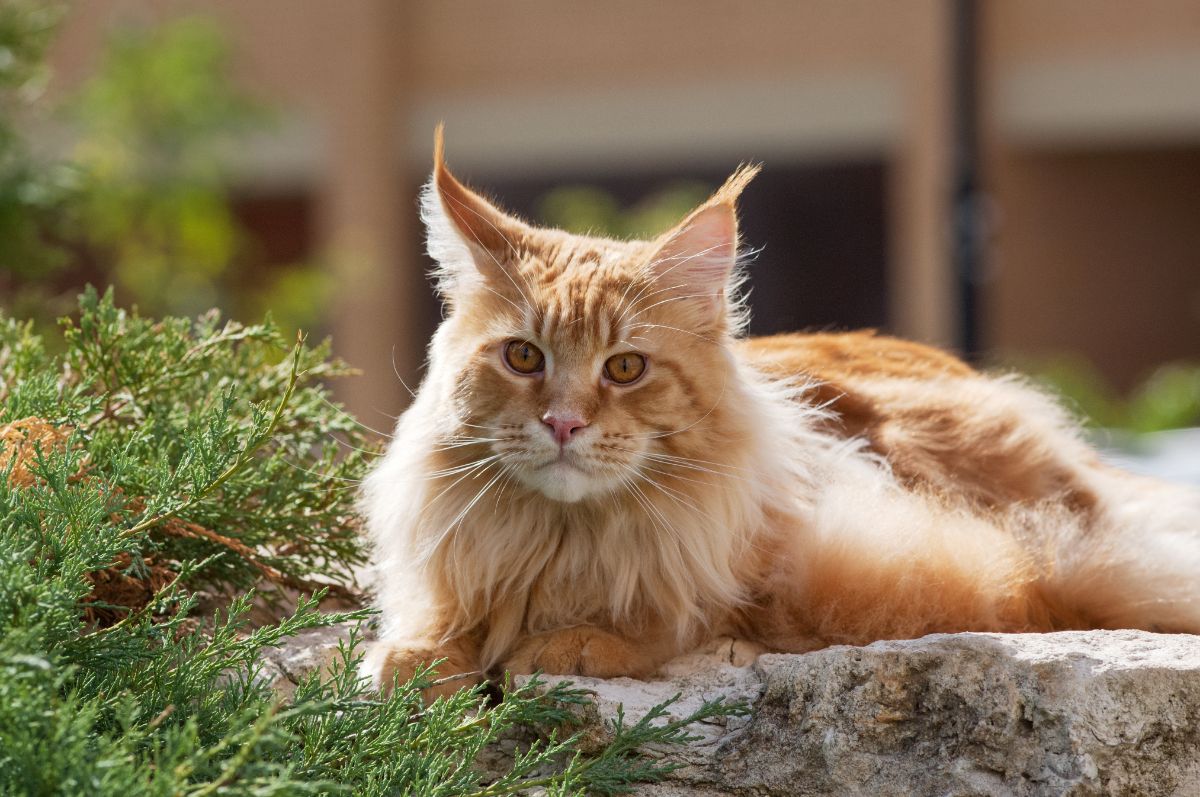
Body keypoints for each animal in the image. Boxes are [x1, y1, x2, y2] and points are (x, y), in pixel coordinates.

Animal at [357, 126, 1200, 696]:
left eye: (625, 368)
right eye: (524, 358)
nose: (563, 423)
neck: (564, 539)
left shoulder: (782, 568)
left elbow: (686, 612)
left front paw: (583, 637)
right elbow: (429, 629)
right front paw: (420, 654)